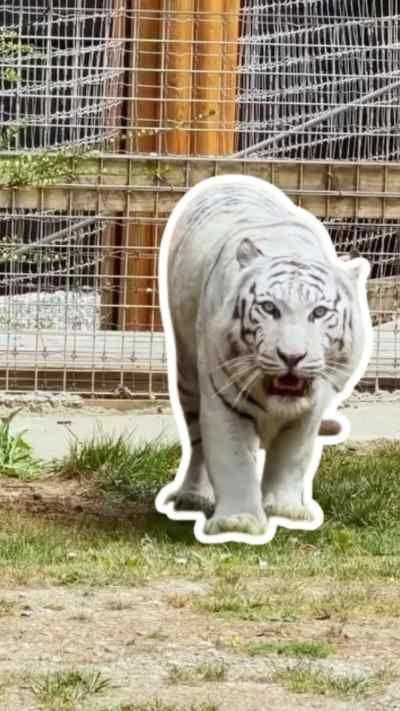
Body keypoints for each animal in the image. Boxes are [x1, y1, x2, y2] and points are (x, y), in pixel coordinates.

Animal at [155, 175, 372, 543]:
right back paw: (193, 496)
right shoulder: (222, 396)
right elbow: (233, 460)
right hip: (186, 374)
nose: (292, 356)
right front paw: (238, 522)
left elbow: (291, 457)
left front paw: (285, 510)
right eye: (270, 308)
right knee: (196, 443)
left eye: (319, 312)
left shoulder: (310, 410)